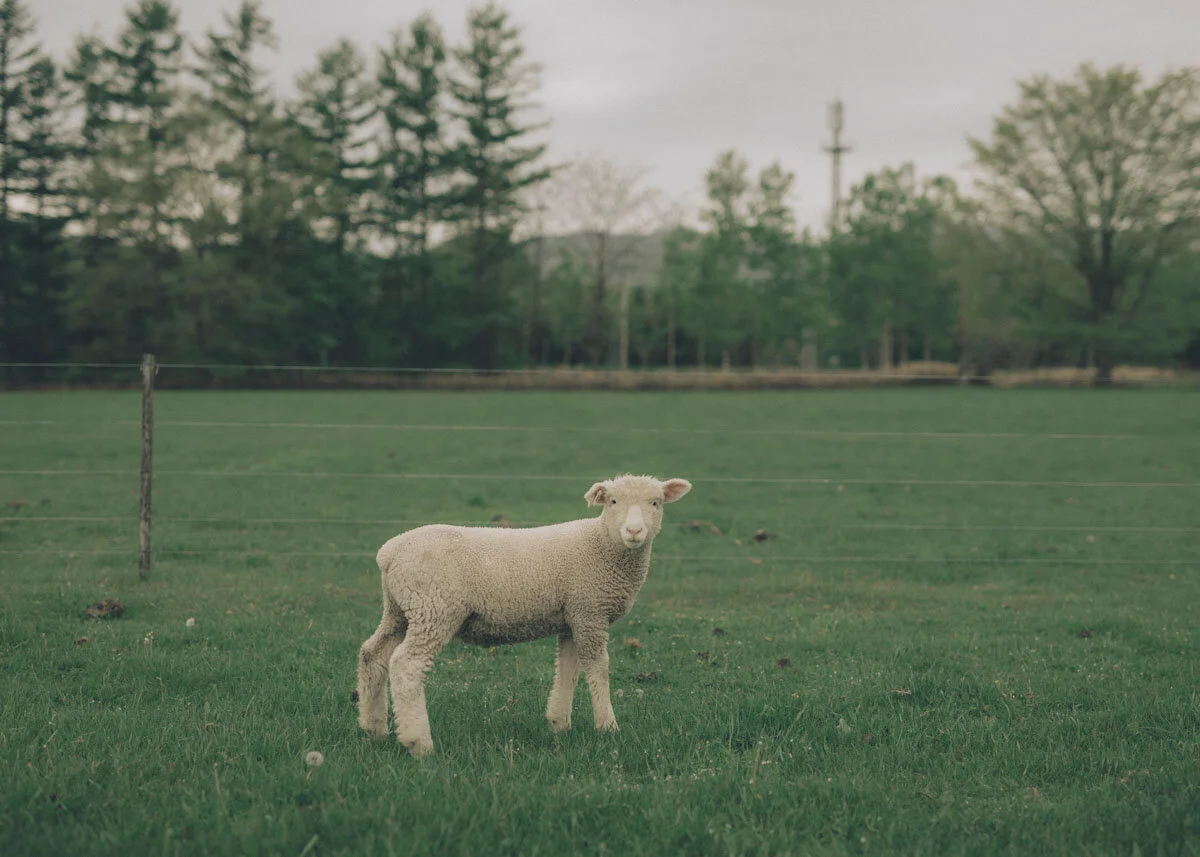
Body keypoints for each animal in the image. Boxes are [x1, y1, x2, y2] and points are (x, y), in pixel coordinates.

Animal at [355, 473, 693, 757]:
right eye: (612, 502)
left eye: (655, 503)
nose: (634, 531)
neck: (602, 544)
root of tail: (390, 552)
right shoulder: (590, 612)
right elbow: (598, 668)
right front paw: (608, 726)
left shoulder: (572, 617)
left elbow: (568, 669)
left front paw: (559, 724)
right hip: (434, 609)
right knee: (406, 665)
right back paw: (419, 743)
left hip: (400, 611)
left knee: (372, 654)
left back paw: (374, 729)